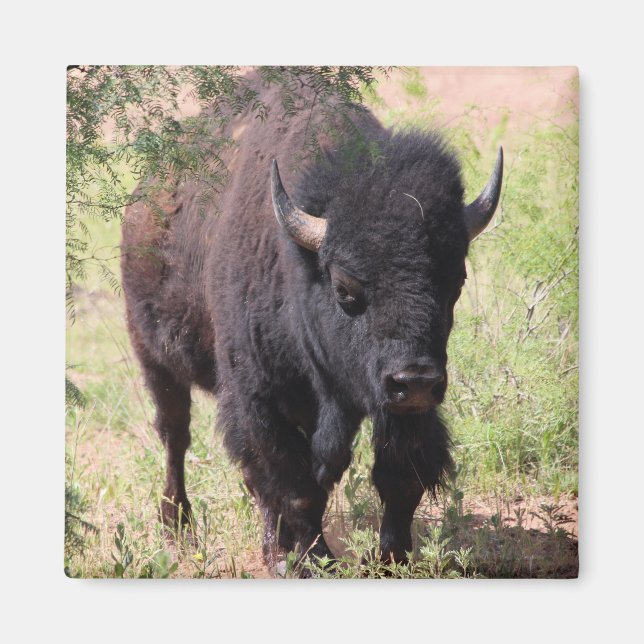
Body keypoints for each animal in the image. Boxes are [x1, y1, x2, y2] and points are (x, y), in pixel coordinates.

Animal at [121, 75, 503, 572]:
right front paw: (309, 561)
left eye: (455, 281)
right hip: (155, 359)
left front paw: (391, 559)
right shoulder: (258, 398)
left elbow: (397, 476)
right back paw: (180, 528)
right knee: (176, 436)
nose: (415, 379)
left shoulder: (397, 404)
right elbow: (293, 487)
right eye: (344, 288)